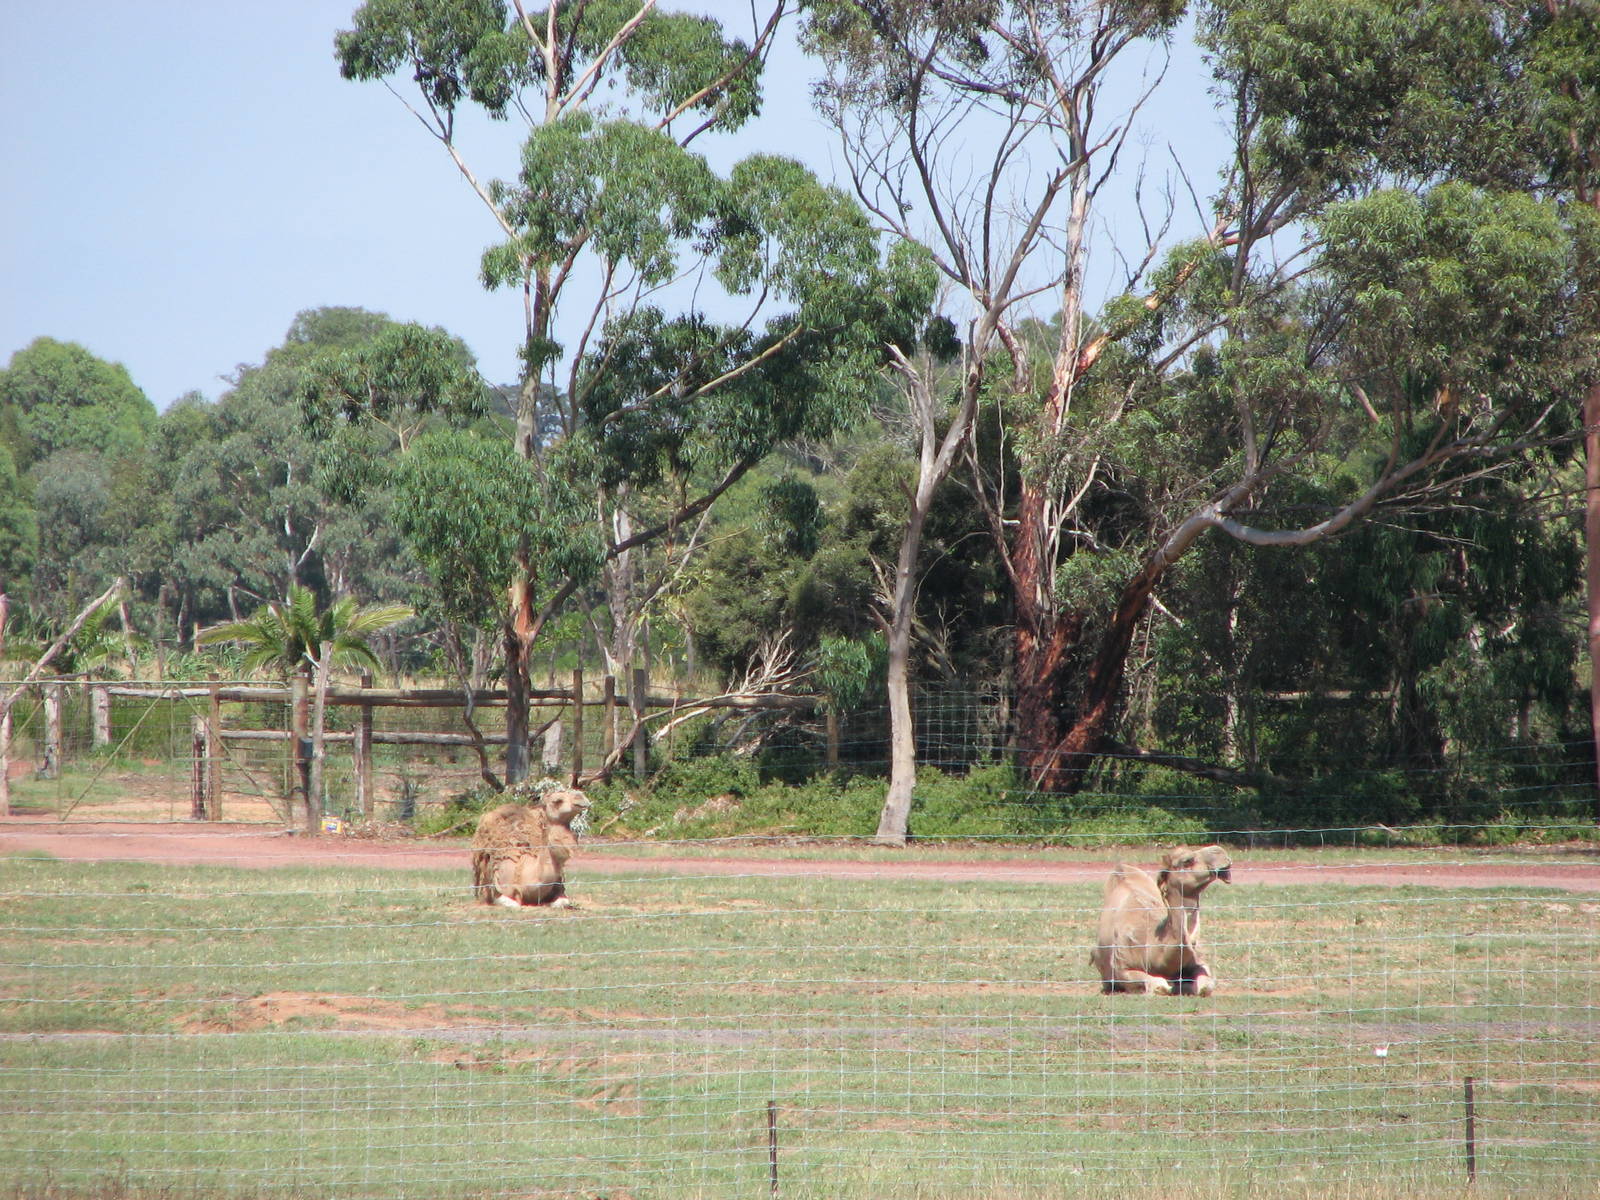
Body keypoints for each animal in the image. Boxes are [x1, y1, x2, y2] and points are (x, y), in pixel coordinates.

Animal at [1089, 844, 1232, 995]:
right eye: (1187, 861)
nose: (1219, 850)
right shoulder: (1121, 968)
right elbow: (1159, 985)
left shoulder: (1197, 961)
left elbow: (1206, 985)